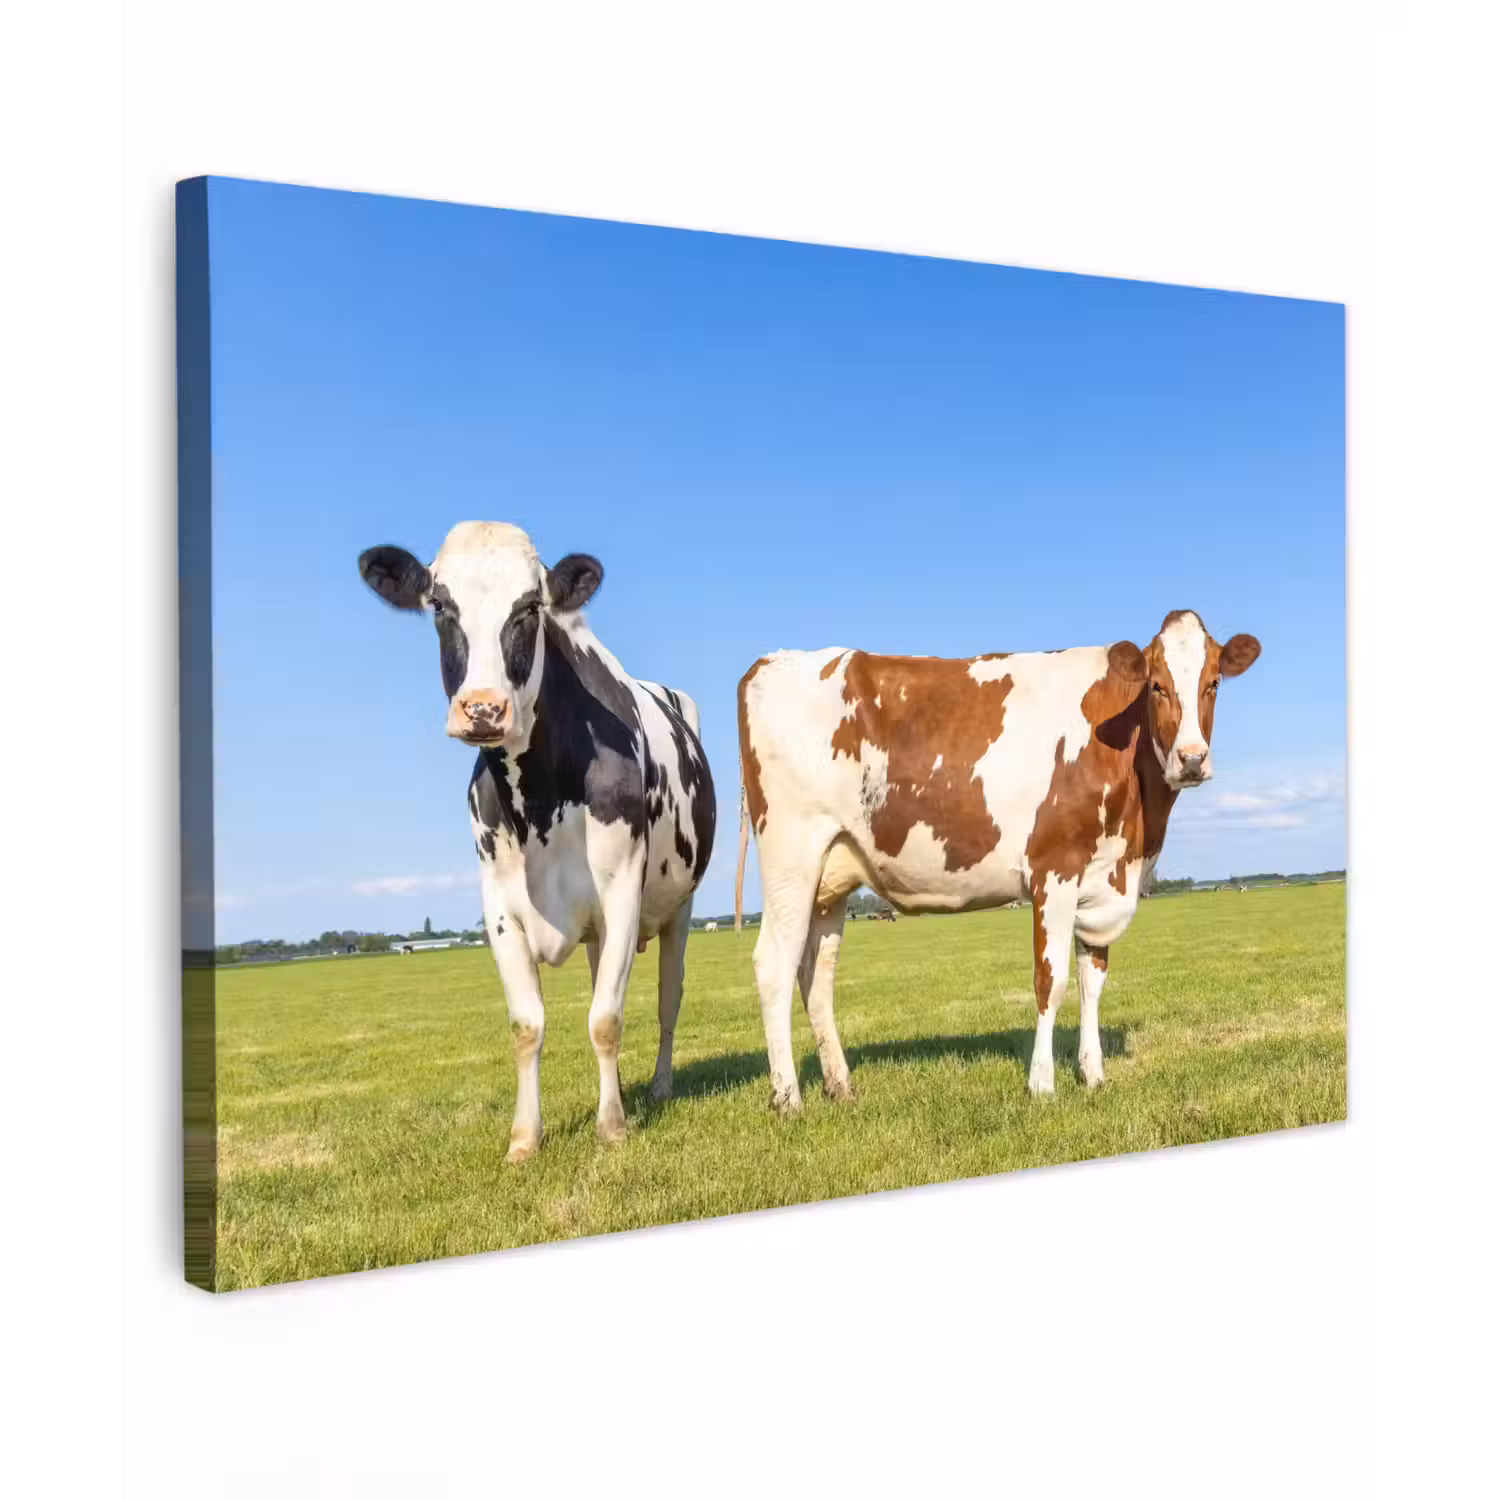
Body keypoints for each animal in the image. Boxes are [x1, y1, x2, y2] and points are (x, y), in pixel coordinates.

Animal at [359, 522, 716, 1161]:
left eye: (529, 608)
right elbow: (528, 1025)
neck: (540, 800)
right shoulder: (500, 907)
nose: (482, 708)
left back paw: (656, 1086)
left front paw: (612, 1127)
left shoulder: (621, 891)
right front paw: (525, 1138)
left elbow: (606, 1018)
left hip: (678, 907)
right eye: (439, 605)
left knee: (667, 998)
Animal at [733, 610, 1259, 1112]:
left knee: (816, 974)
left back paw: (840, 1087)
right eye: (1157, 685)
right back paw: (788, 1098)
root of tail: (771, 661)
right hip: (791, 855)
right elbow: (1052, 981)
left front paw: (1092, 1075)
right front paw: (1042, 1084)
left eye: (1213, 683)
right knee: (773, 964)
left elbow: (1092, 981)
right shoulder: (1055, 870)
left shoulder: (1103, 879)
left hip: (830, 875)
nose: (1192, 760)